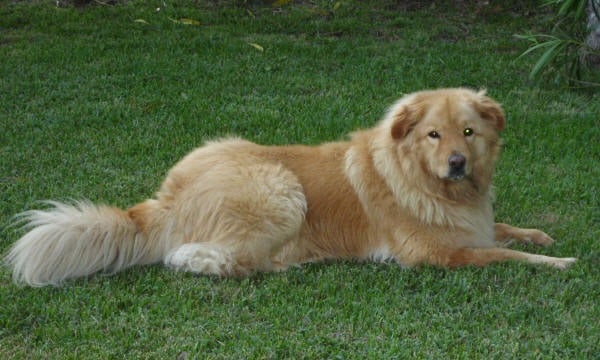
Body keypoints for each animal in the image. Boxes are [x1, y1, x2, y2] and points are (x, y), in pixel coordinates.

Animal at [4, 88, 576, 286]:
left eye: (469, 133)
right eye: (434, 134)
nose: (457, 163)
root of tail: (166, 198)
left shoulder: (472, 224)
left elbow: (503, 231)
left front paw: (540, 236)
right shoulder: (435, 254)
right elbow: (503, 256)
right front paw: (560, 262)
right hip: (281, 189)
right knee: (197, 257)